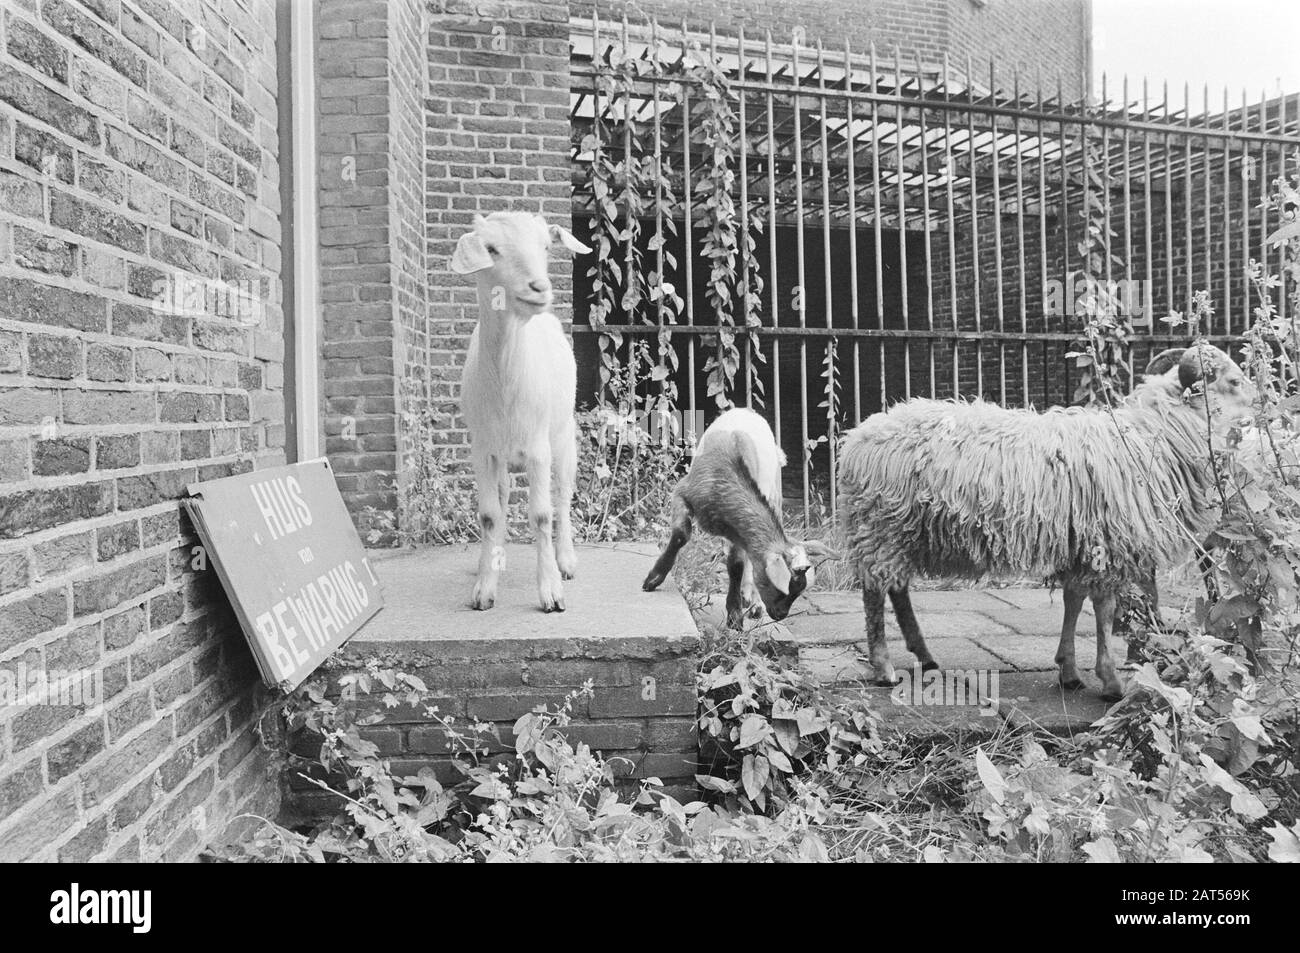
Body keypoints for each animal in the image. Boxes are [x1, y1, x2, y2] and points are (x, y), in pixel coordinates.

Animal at [447, 210, 590, 608]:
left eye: (546, 246)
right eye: (491, 249)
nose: (539, 288)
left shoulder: (539, 448)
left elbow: (541, 514)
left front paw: (551, 592)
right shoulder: (482, 450)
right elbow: (489, 515)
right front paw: (484, 587)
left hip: (563, 438)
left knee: (563, 496)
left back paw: (566, 560)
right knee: (503, 498)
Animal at [639, 408, 832, 624]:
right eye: (784, 589)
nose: (781, 615)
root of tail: (747, 411)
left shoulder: (737, 530)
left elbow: (737, 564)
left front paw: (735, 614)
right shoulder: (682, 492)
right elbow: (681, 535)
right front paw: (654, 579)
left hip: (774, 493)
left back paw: (754, 603)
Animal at [837, 343, 1253, 696]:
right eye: (1233, 381)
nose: (1262, 409)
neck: (1152, 436)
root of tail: (858, 438)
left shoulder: (1081, 541)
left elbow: (1073, 600)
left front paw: (1068, 670)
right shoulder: (1107, 543)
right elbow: (1104, 609)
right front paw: (1111, 679)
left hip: (900, 530)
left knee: (897, 589)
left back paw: (924, 656)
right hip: (881, 527)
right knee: (875, 592)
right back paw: (884, 667)